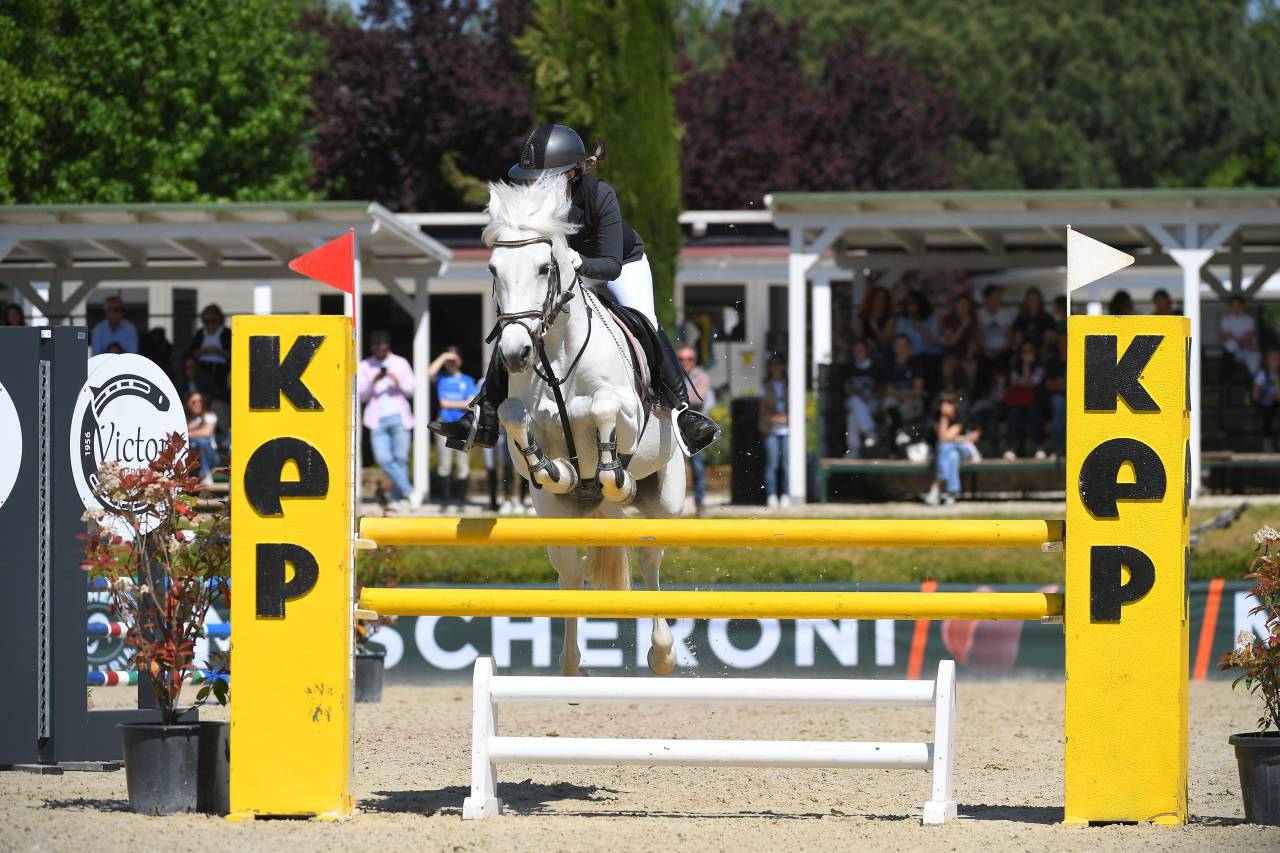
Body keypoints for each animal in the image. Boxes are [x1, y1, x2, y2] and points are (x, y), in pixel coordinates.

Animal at [484, 176, 684, 677]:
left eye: (543, 268)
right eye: (494, 269)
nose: (515, 353)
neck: (556, 354)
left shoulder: (628, 413)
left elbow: (603, 409)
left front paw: (614, 471)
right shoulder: (519, 423)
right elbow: (516, 420)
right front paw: (558, 469)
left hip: (666, 500)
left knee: (650, 559)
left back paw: (662, 653)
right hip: (555, 519)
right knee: (571, 578)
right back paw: (573, 666)